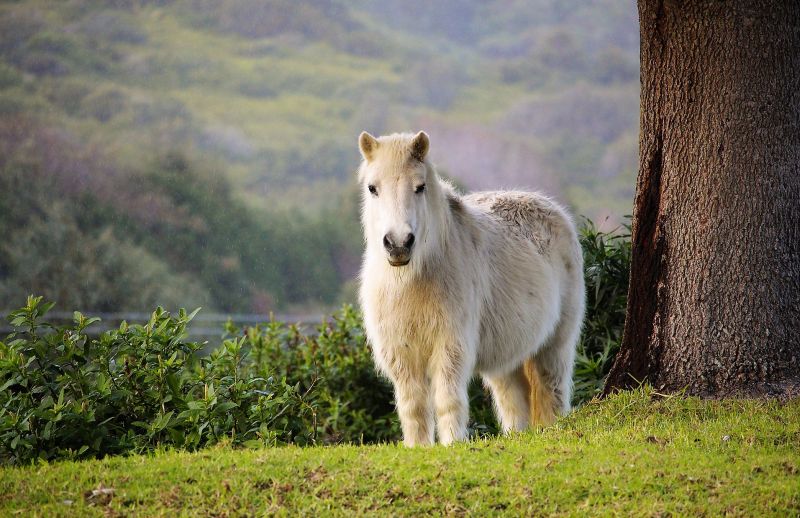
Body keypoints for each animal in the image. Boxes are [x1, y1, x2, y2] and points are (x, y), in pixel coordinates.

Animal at [360, 132, 584, 448]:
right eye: (372, 188)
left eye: (420, 187)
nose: (399, 244)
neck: (411, 281)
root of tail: (554, 210)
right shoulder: (401, 353)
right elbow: (412, 407)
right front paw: (418, 447)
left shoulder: (450, 346)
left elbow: (447, 400)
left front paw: (452, 444)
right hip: (507, 360)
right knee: (514, 402)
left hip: (554, 346)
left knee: (552, 392)